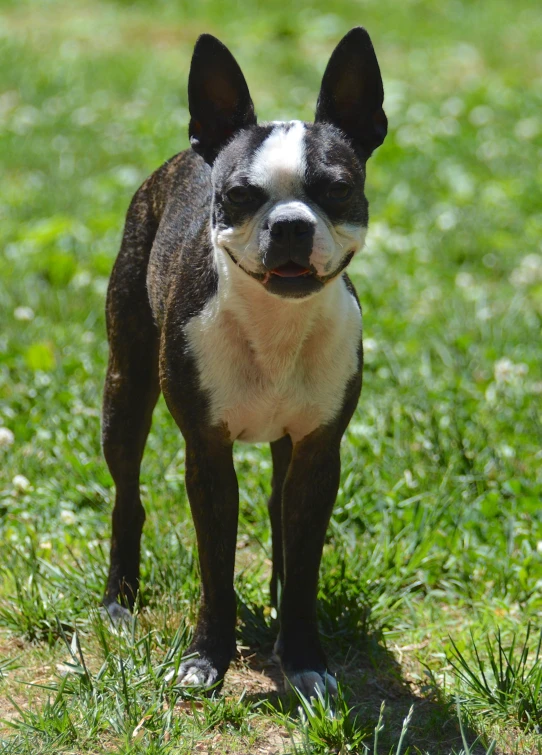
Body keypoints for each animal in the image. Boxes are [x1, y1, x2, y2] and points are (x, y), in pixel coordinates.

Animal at [102, 26, 388, 700]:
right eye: (237, 197)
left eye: (337, 189)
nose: (288, 225)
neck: (274, 324)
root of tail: (188, 153)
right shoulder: (207, 452)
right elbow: (216, 565)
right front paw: (208, 656)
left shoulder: (318, 451)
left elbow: (303, 558)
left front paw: (304, 655)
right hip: (124, 390)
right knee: (127, 494)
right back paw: (119, 600)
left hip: (286, 445)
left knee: (281, 518)